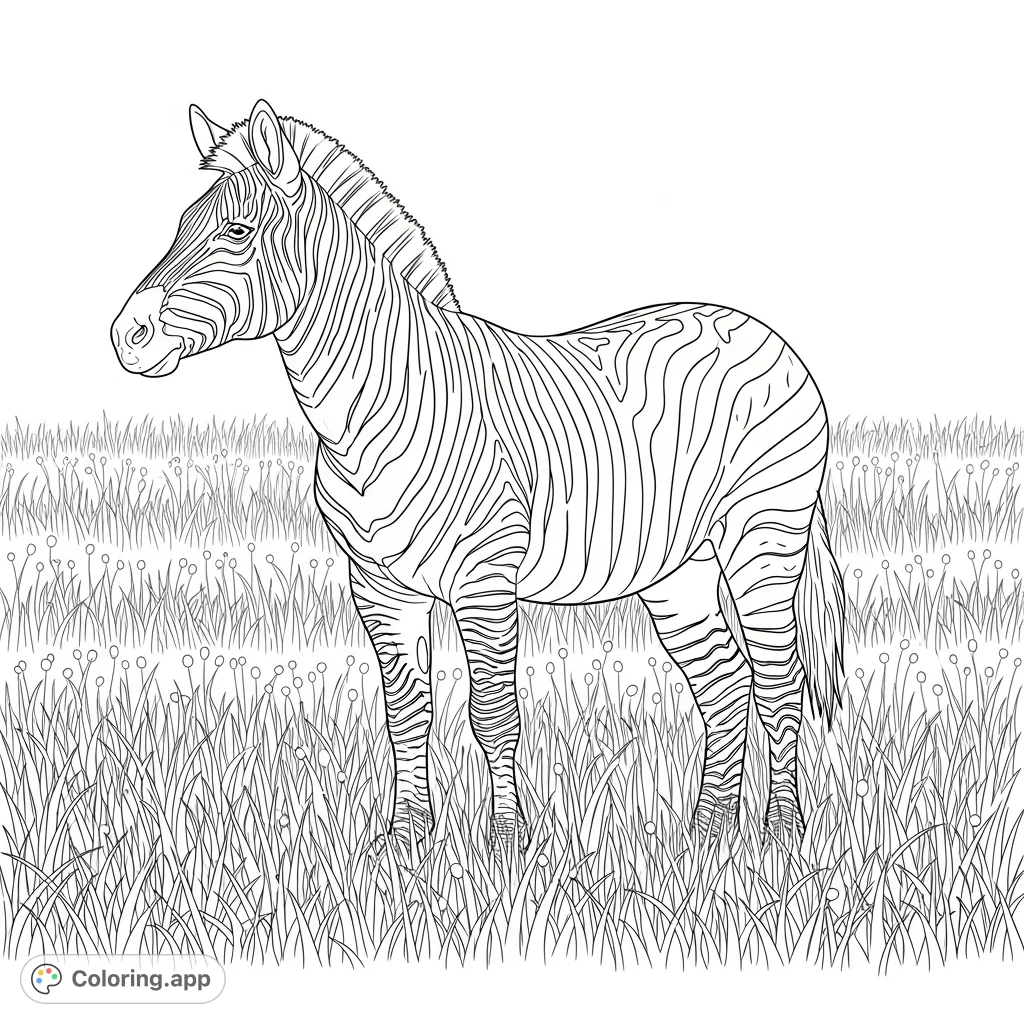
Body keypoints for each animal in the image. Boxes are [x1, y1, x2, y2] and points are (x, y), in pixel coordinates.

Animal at [111, 99, 845, 854]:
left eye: (236, 231)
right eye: (178, 226)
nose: (125, 337)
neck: (380, 405)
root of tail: (756, 328)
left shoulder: (486, 579)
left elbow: (494, 715)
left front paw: (505, 844)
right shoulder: (378, 586)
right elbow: (406, 712)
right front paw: (405, 842)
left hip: (763, 538)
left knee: (778, 682)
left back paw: (780, 835)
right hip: (679, 566)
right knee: (724, 685)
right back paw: (704, 838)